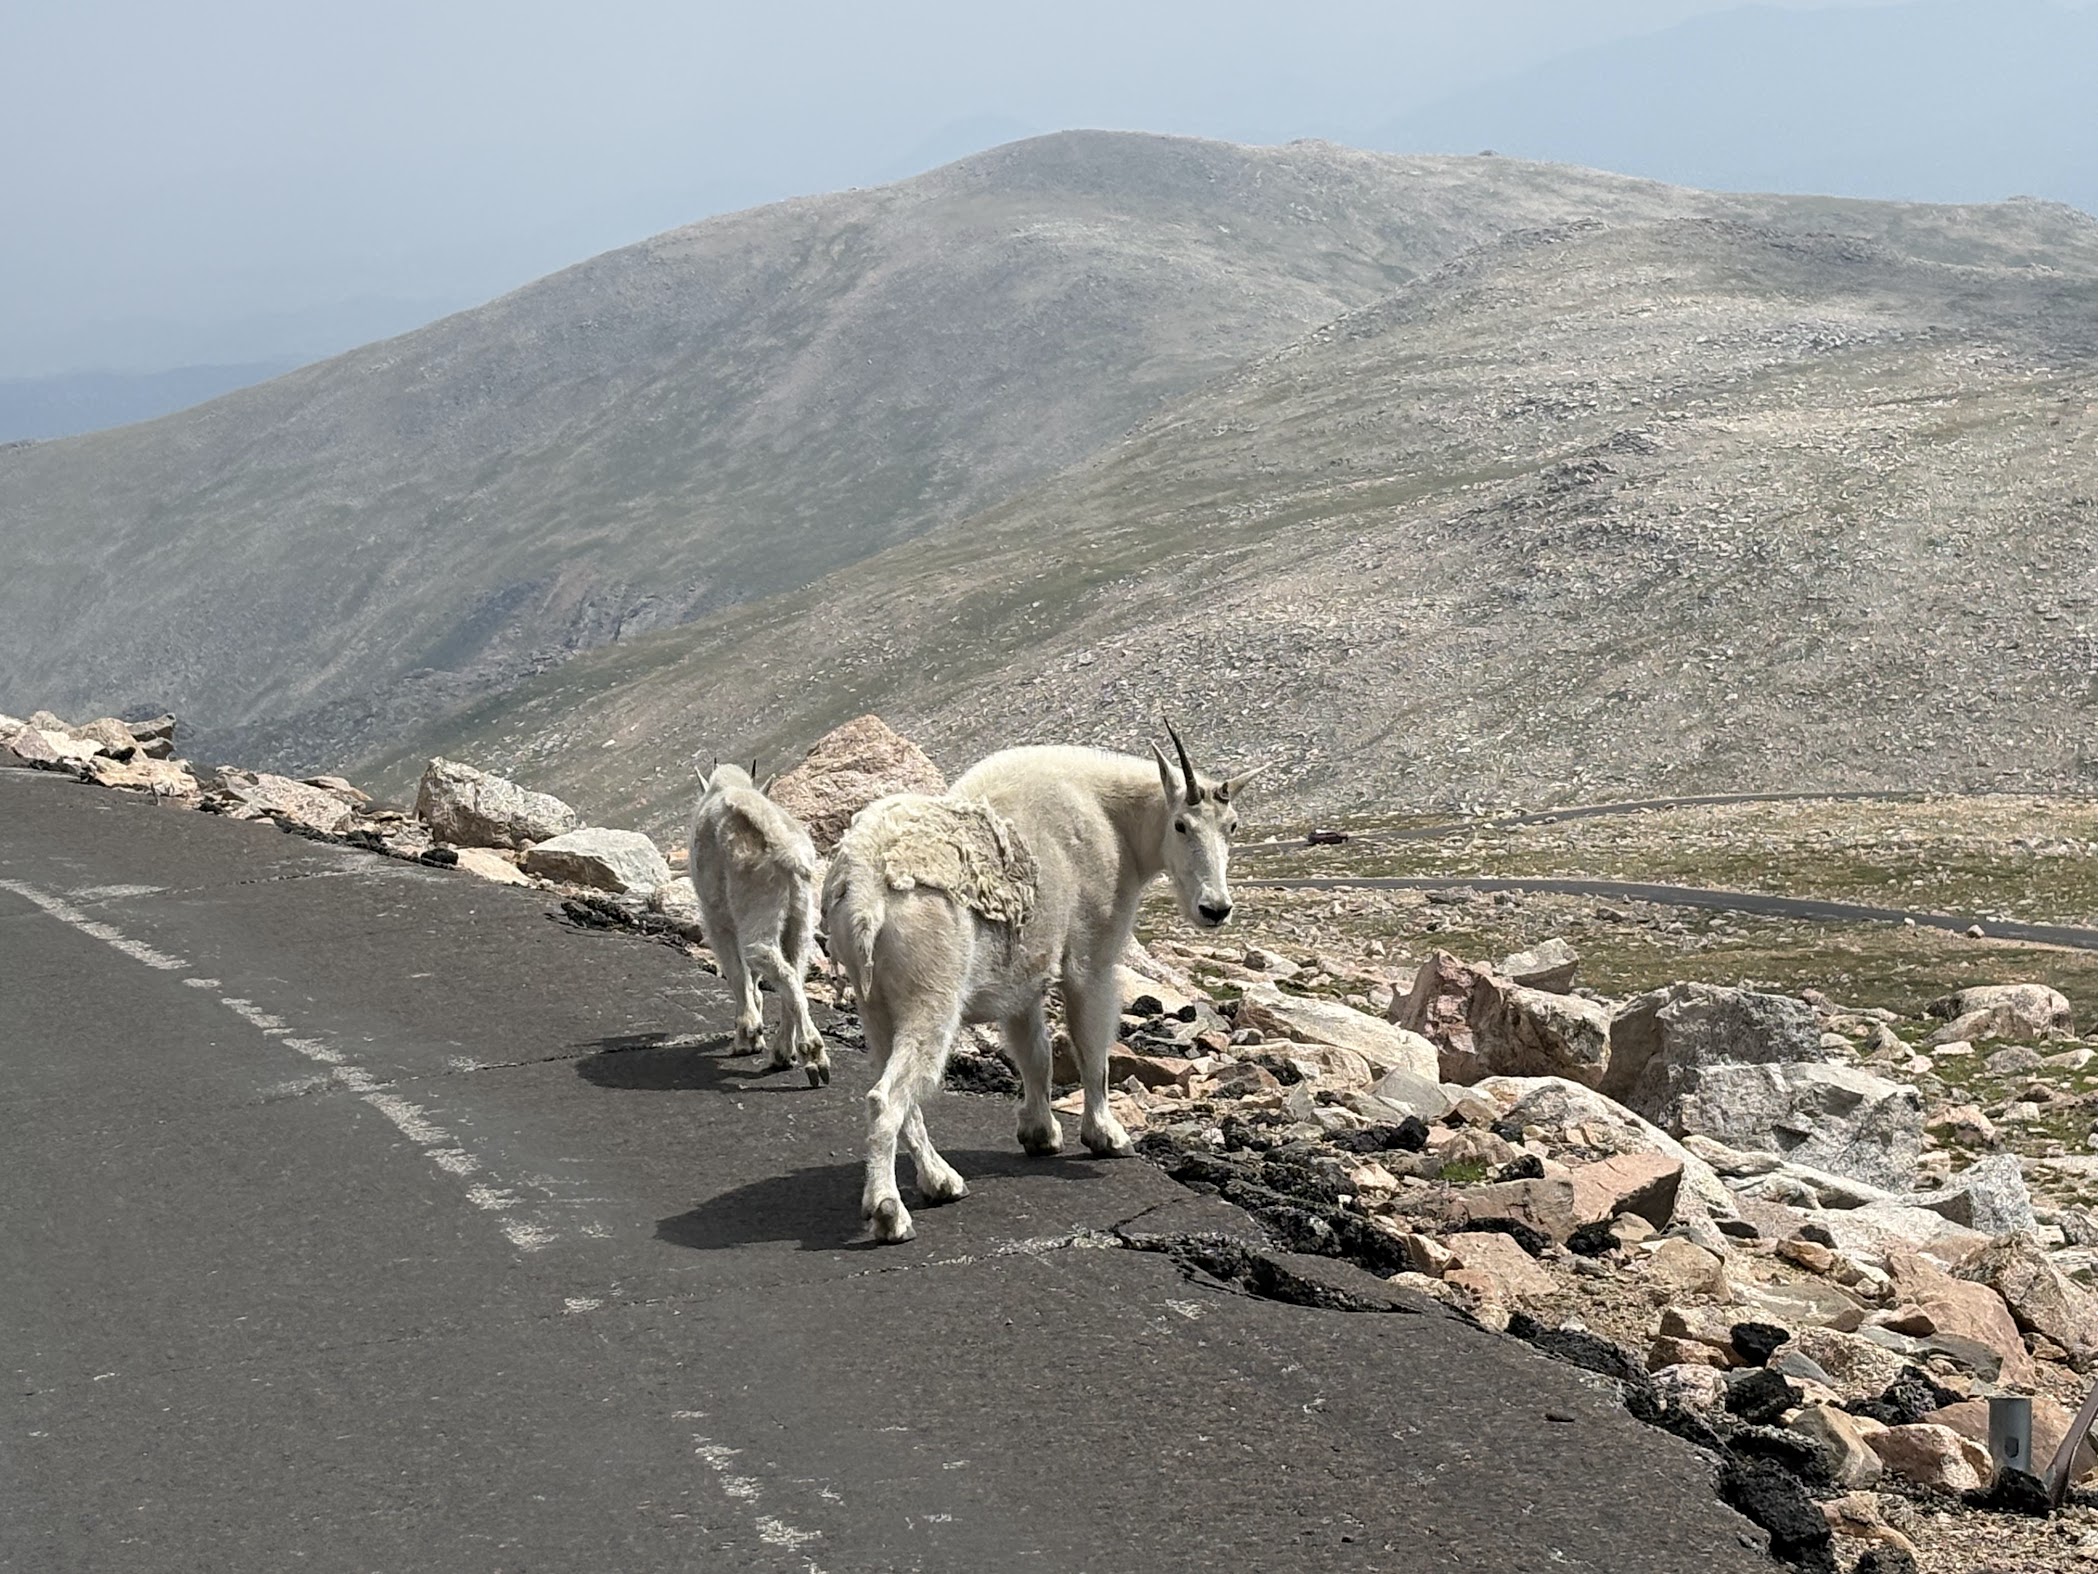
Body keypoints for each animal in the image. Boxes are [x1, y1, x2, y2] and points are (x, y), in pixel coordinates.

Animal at [688, 763, 829, 1087]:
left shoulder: (718, 919)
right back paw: (784, 1053)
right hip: (800, 915)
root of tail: (786, 850)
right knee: (794, 968)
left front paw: (747, 1036)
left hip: (758, 906)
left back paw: (811, 1052)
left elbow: (737, 973)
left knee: (766, 959)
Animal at [823, 723, 1263, 1241]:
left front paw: (1040, 1133)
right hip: (931, 995)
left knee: (895, 1085)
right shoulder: (1091, 958)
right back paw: (890, 1210)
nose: (1215, 909)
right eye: (1181, 825)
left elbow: (1034, 1053)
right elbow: (1092, 1049)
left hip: (872, 999)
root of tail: (865, 893)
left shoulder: (1022, 976)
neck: (1112, 817)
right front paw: (1106, 1135)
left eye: (1232, 827)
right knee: (886, 1096)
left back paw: (942, 1180)